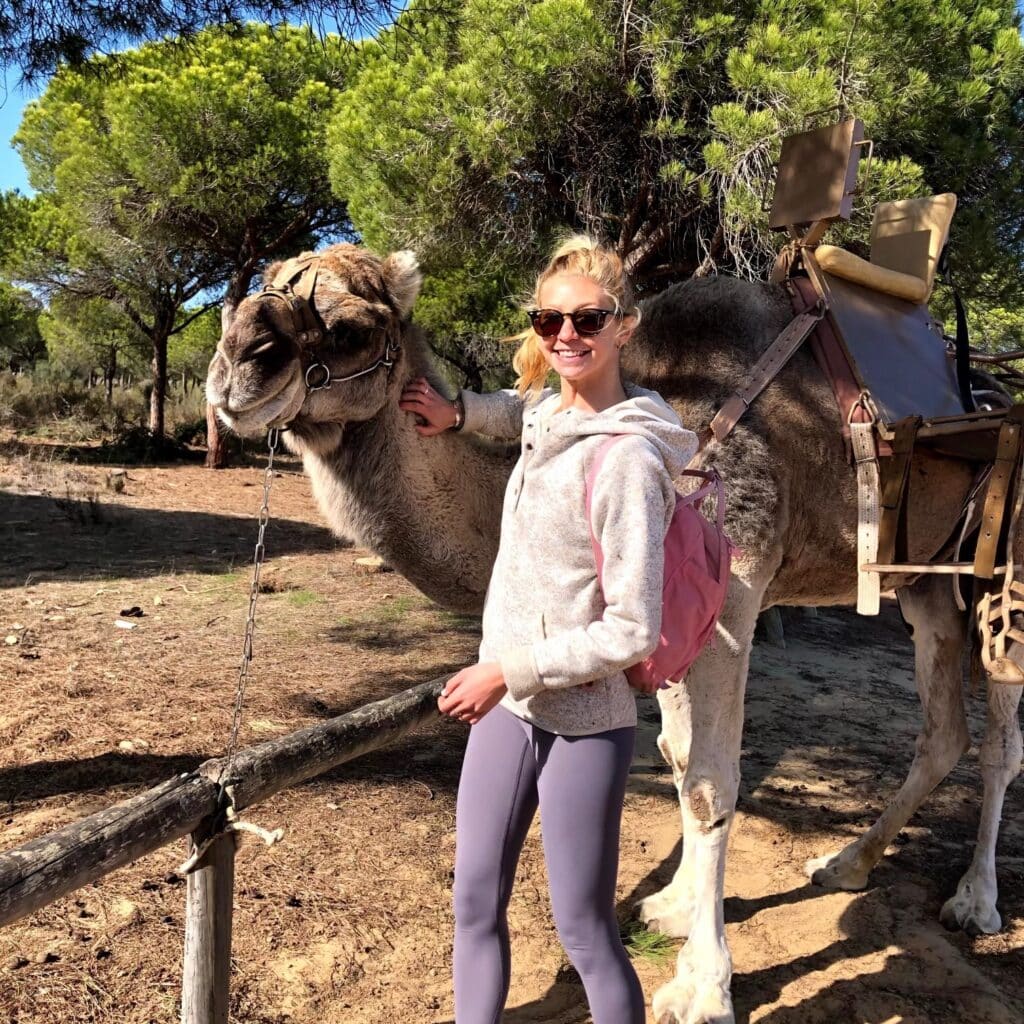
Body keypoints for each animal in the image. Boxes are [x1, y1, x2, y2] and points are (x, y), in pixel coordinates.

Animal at [205, 243, 1024, 1024]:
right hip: (925, 581)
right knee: (943, 729)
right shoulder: (671, 617)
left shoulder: (735, 589)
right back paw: (846, 864)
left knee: (999, 739)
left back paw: (975, 901)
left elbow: (709, 781)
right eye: (245, 302)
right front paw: (674, 906)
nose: (237, 362)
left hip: (1003, 574)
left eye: (351, 328)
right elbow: (679, 755)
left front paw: (702, 988)